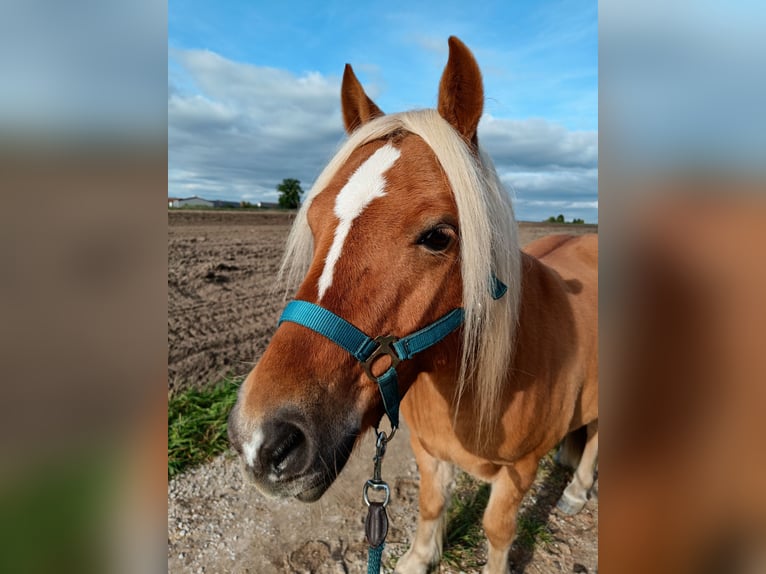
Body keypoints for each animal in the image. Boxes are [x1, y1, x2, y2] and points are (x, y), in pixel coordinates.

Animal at [228, 36, 598, 574]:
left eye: (439, 236)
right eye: (314, 221)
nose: (261, 439)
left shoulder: (520, 469)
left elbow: (498, 529)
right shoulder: (428, 450)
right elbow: (431, 503)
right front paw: (418, 558)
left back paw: (577, 487)